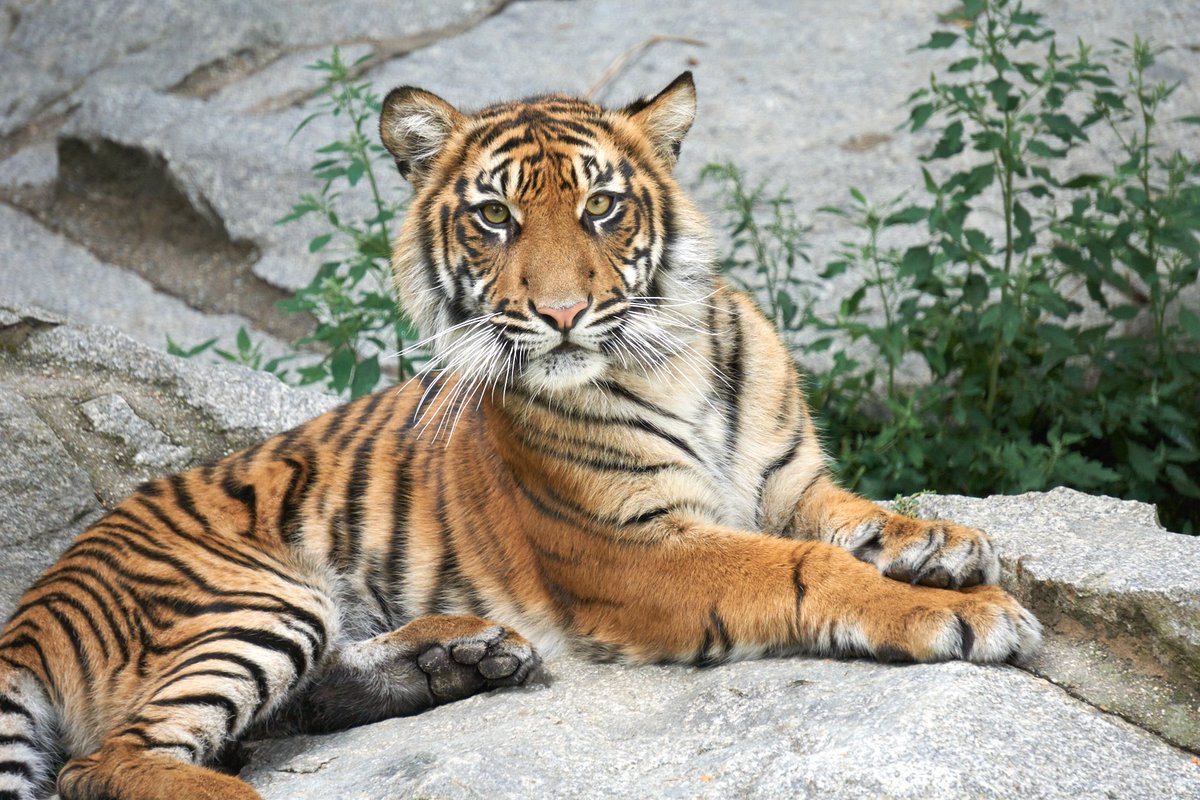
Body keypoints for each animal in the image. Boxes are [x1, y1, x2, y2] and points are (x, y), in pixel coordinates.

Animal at [0, 72, 1041, 800]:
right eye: (495, 217)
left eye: (602, 207)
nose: (564, 313)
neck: (668, 361)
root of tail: (31, 605)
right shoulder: (633, 549)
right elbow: (806, 566)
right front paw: (964, 614)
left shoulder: (791, 482)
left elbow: (858, 515)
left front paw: (942, 544)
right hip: (250, 598)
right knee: (105, 759)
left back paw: (457, 658)